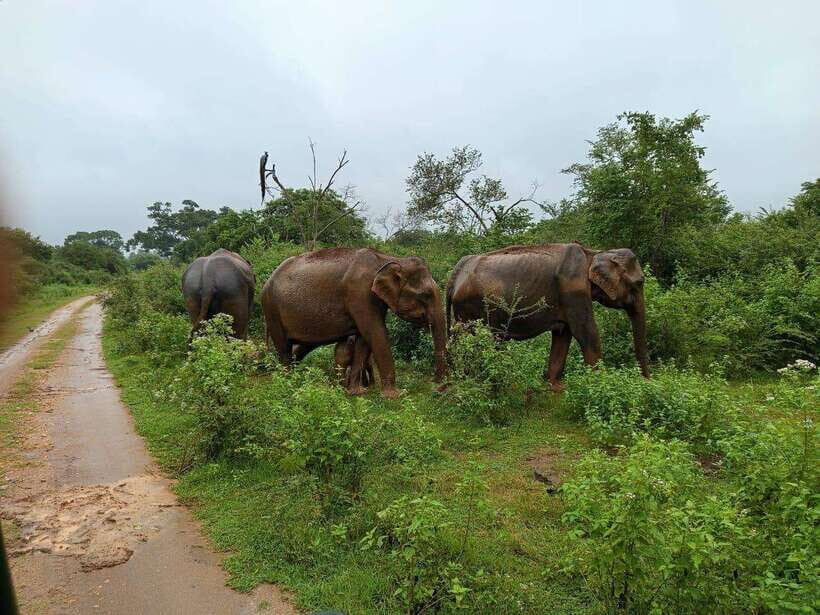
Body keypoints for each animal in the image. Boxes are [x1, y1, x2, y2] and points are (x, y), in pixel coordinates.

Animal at [261, 247, 447, 398]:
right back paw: (288, 383)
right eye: (425, 295)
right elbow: (375, 332)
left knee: (302, 346)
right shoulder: (360, 293)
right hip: (271, 310)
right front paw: (395, 395)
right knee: (283, 347)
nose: (437, 386)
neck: (388, 259)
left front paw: (357, 392)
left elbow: (364, 339)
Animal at [446, 243, 649, 391]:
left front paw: (555, 386)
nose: (647, 381)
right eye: (640, 282)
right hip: (472, 306)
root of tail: (456, 273)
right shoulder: (573, 290)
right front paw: (600, 384)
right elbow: (585, 331)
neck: (592, 253)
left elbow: (563, 334)